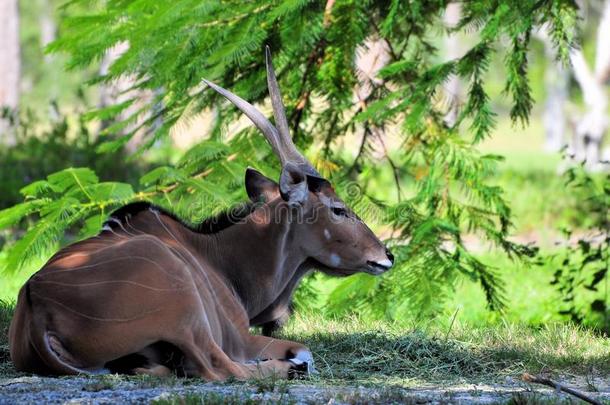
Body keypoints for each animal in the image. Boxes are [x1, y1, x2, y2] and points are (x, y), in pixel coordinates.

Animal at [9, 49, 394, 380]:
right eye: (338, 209)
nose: (386, 255)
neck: (215, 255)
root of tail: (38, 305)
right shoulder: (242, 338)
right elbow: (303, 350)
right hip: (187, 311)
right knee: (217, 368)